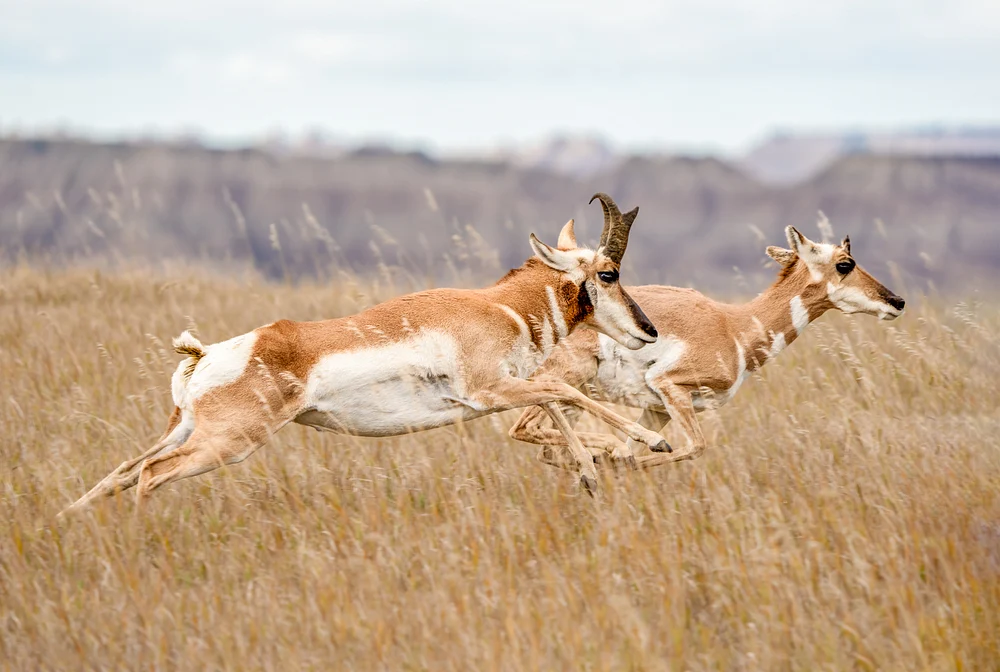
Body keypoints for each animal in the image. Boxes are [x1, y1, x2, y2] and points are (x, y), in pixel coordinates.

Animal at [58, 194, 670, 516]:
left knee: (121, 471)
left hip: (185, 429)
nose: (650, 330)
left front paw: (590, 475)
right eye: (609, 273)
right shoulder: (488, 391)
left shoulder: (504, 391)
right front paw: (652, 441)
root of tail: (206, 353)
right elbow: (562, 392)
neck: (500, 306)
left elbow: (552, 402)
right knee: (149, 474)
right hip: (225, 443)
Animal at [509, 225, 906, 469]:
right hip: (567, 380)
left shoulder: (659, 409)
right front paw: (618, 461)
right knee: (524, 429)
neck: (734, 325)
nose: (897, 301)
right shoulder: (672, 387)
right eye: (845, 263)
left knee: (544, 445)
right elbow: (693, 447)